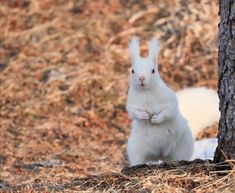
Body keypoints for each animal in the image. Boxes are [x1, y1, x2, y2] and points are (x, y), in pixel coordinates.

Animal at [126, 36, 219, 166]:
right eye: (133, 71)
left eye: (153, 70)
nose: (141, 78)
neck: (146, 93)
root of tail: (159, 155)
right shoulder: (132, 102)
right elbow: (133, 112)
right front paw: (143, 115)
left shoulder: (170, 100)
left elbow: (169, 111)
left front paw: (157, 118)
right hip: (136, 149)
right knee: (138, 159)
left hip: (182, 147)